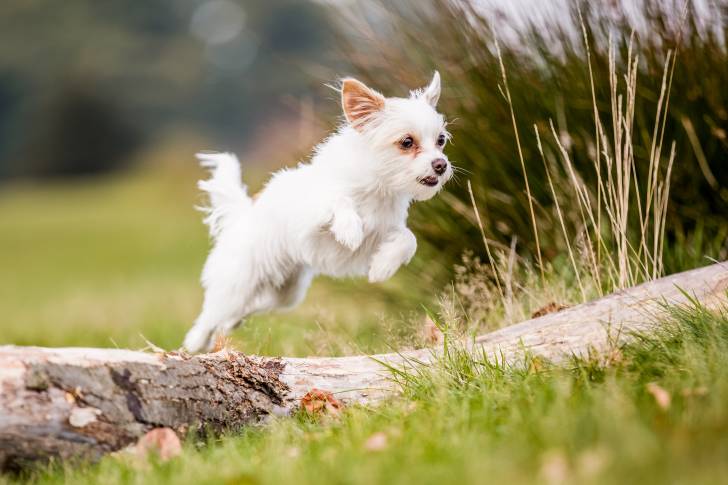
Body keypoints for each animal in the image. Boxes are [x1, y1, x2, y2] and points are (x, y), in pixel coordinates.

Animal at [182, 72, 452, 352]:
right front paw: (349, 229)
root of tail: (242, 216)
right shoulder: (309, 216)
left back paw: (231, 323)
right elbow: (337, 199)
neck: (378, 188)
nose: (441, 165)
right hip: (237, 283)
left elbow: (408, 239)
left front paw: (382, 267)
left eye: (441, 140)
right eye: (407, 142)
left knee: (246, 309)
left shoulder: (382, 233)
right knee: (211, 315)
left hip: (286, 293)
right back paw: (196, 343)